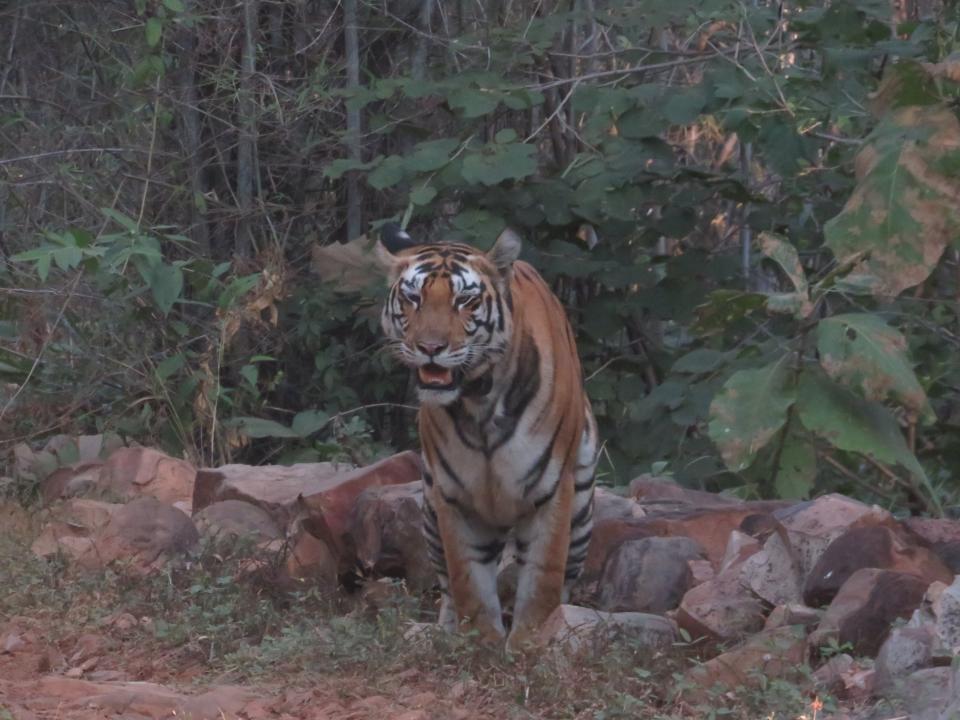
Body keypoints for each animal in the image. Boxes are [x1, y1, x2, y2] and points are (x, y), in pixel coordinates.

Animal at [376, 222, 596, 648]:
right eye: (413, 298)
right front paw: (481, 644)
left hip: (581, 507)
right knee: (447, 587)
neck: (478, 401)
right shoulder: (453, 497)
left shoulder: (552, 490)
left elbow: (542, 579)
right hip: (428, 511)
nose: (430, 347)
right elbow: (468, 581)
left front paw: (530, 643)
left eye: (465, 300)